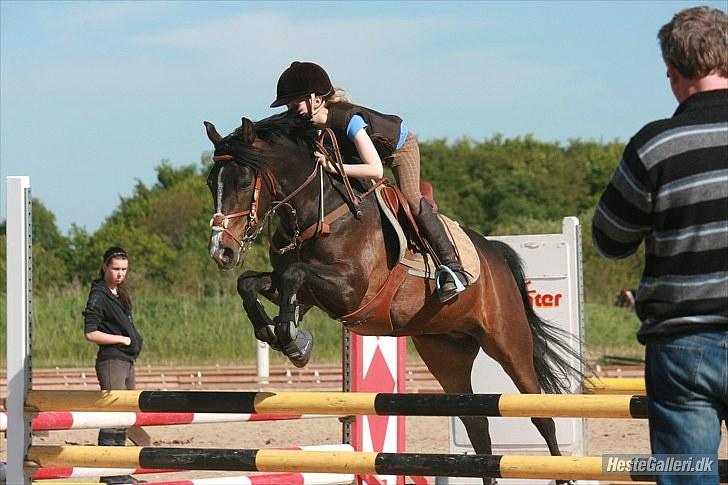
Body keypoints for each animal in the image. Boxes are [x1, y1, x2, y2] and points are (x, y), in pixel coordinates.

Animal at [204, 113, 583, 484]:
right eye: (210, 183)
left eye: (242, 183)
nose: (221, 252)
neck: (318, 211)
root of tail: (495, 252)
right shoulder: (311, 289)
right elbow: (252, 283)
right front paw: (282, 335)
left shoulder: (348, 289)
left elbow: (292, 275)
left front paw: (292, 339)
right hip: (445, 352)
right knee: (477, 425)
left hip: (508, 342)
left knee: (542, 415)